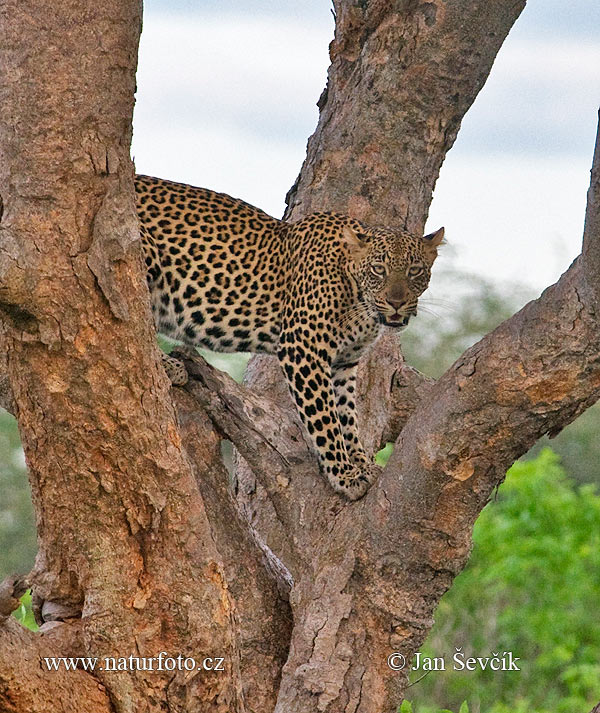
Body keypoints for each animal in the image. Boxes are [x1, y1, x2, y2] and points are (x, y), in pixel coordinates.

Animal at [137, 175, 446, 498]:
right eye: (378, 269)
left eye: (415, 271)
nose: (397, 302)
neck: (359, 302)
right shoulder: (303, 347)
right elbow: (325, 419)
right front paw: (344, 474)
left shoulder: (345, 363)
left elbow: (348, 417)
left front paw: (362, 463)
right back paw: (169, 365)